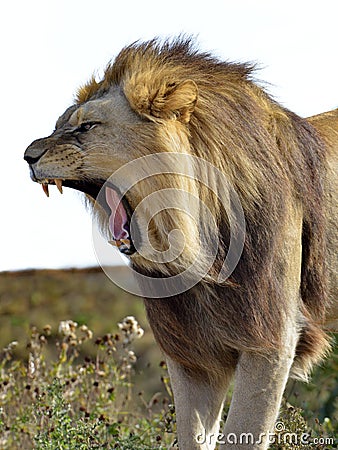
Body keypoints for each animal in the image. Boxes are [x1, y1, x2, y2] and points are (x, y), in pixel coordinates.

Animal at [23, 39, 336, 450]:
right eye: (59, 125)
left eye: (87, 126)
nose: (27, 156)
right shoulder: (191, 353)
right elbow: (193, 434)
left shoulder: (270, 343)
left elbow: (244, 432)